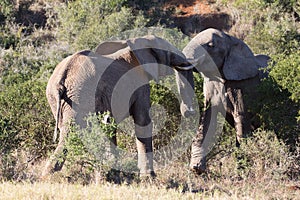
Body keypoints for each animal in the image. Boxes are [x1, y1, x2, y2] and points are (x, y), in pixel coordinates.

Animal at [42, 35, 197, 178]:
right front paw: (149, 178)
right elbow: (143, 121)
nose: (189, 111)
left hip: (57, 98)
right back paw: (50, 175)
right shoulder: (140, 84)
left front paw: (115, 171)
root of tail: (62, 78)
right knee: (71, 132)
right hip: (80, 96)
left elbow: (111, 127)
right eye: (168, 51)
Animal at [183, 27, 272, 173]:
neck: (231, 40)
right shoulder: (210, 86)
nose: (188, 112)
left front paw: (242, 171)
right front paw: (196, 169)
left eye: (211, 46)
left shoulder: (241, 86)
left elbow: (240, 119)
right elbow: (206, 121)